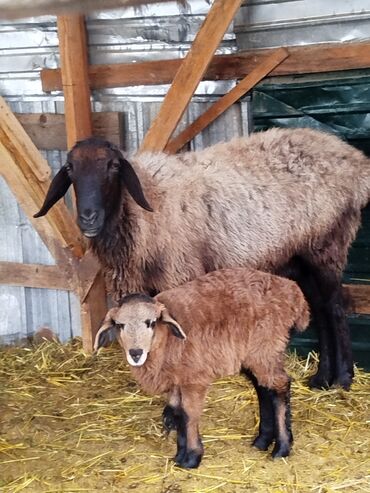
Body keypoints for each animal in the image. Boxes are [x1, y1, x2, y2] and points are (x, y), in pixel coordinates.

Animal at [94, 268, 310, 468]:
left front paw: (191, 457)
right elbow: (177, 412)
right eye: (119, 325)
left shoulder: (194, 378)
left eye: (152, 322)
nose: (136, 353)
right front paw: (179, 455)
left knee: (280, 386)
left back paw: (282, 447)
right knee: (263, 389)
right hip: (252, 354)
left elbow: (189, 413)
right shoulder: (177, 381)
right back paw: (263, 440)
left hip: (266, 348)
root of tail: (293, 291)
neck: (167, 340)